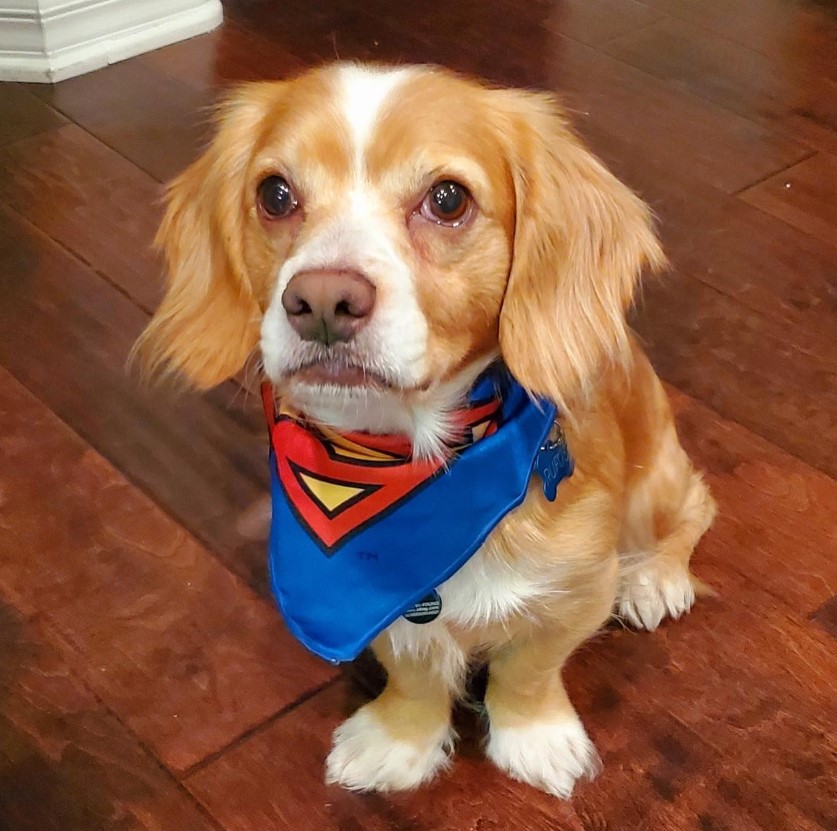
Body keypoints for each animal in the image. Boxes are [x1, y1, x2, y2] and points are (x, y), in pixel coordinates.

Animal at [134, 63, 716, 800]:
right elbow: (412, 672)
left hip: (655, 485)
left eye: (447, 199)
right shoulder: (385, 609)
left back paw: (657, 580)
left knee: (696, 508)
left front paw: (534, 737)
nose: (321, 301)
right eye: (274, 194)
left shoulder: (579, 586)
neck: (415, 464)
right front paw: (400, 741)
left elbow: (528, 670)